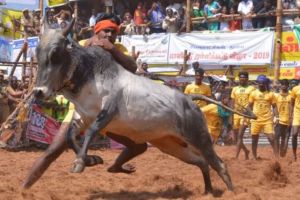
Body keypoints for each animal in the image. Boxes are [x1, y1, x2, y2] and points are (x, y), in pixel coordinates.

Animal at [32, 20, 234, 194]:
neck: (89, 73)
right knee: (202, 163)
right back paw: (208, 192)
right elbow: (71, 136)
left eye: (55, 53)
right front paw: (91, 159)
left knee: (220, 165)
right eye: (37, 53)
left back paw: (232, 192)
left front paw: (80, 162)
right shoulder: (82, 116)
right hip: (171, 146)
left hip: (200, 138)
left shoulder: (108, 110)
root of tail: (189, 100)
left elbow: (90, 132)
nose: (38, 92)